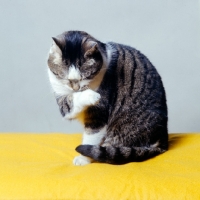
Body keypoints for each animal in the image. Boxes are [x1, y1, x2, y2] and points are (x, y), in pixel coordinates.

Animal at [47, 30, 168, 166]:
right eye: (66, 79)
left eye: (86, 76)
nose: (76, 88)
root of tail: (162, 139)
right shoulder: (62, 100)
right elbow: (71, 102)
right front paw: (90, 95)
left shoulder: (98, 114)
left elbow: (91, 136)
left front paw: (83, 159)